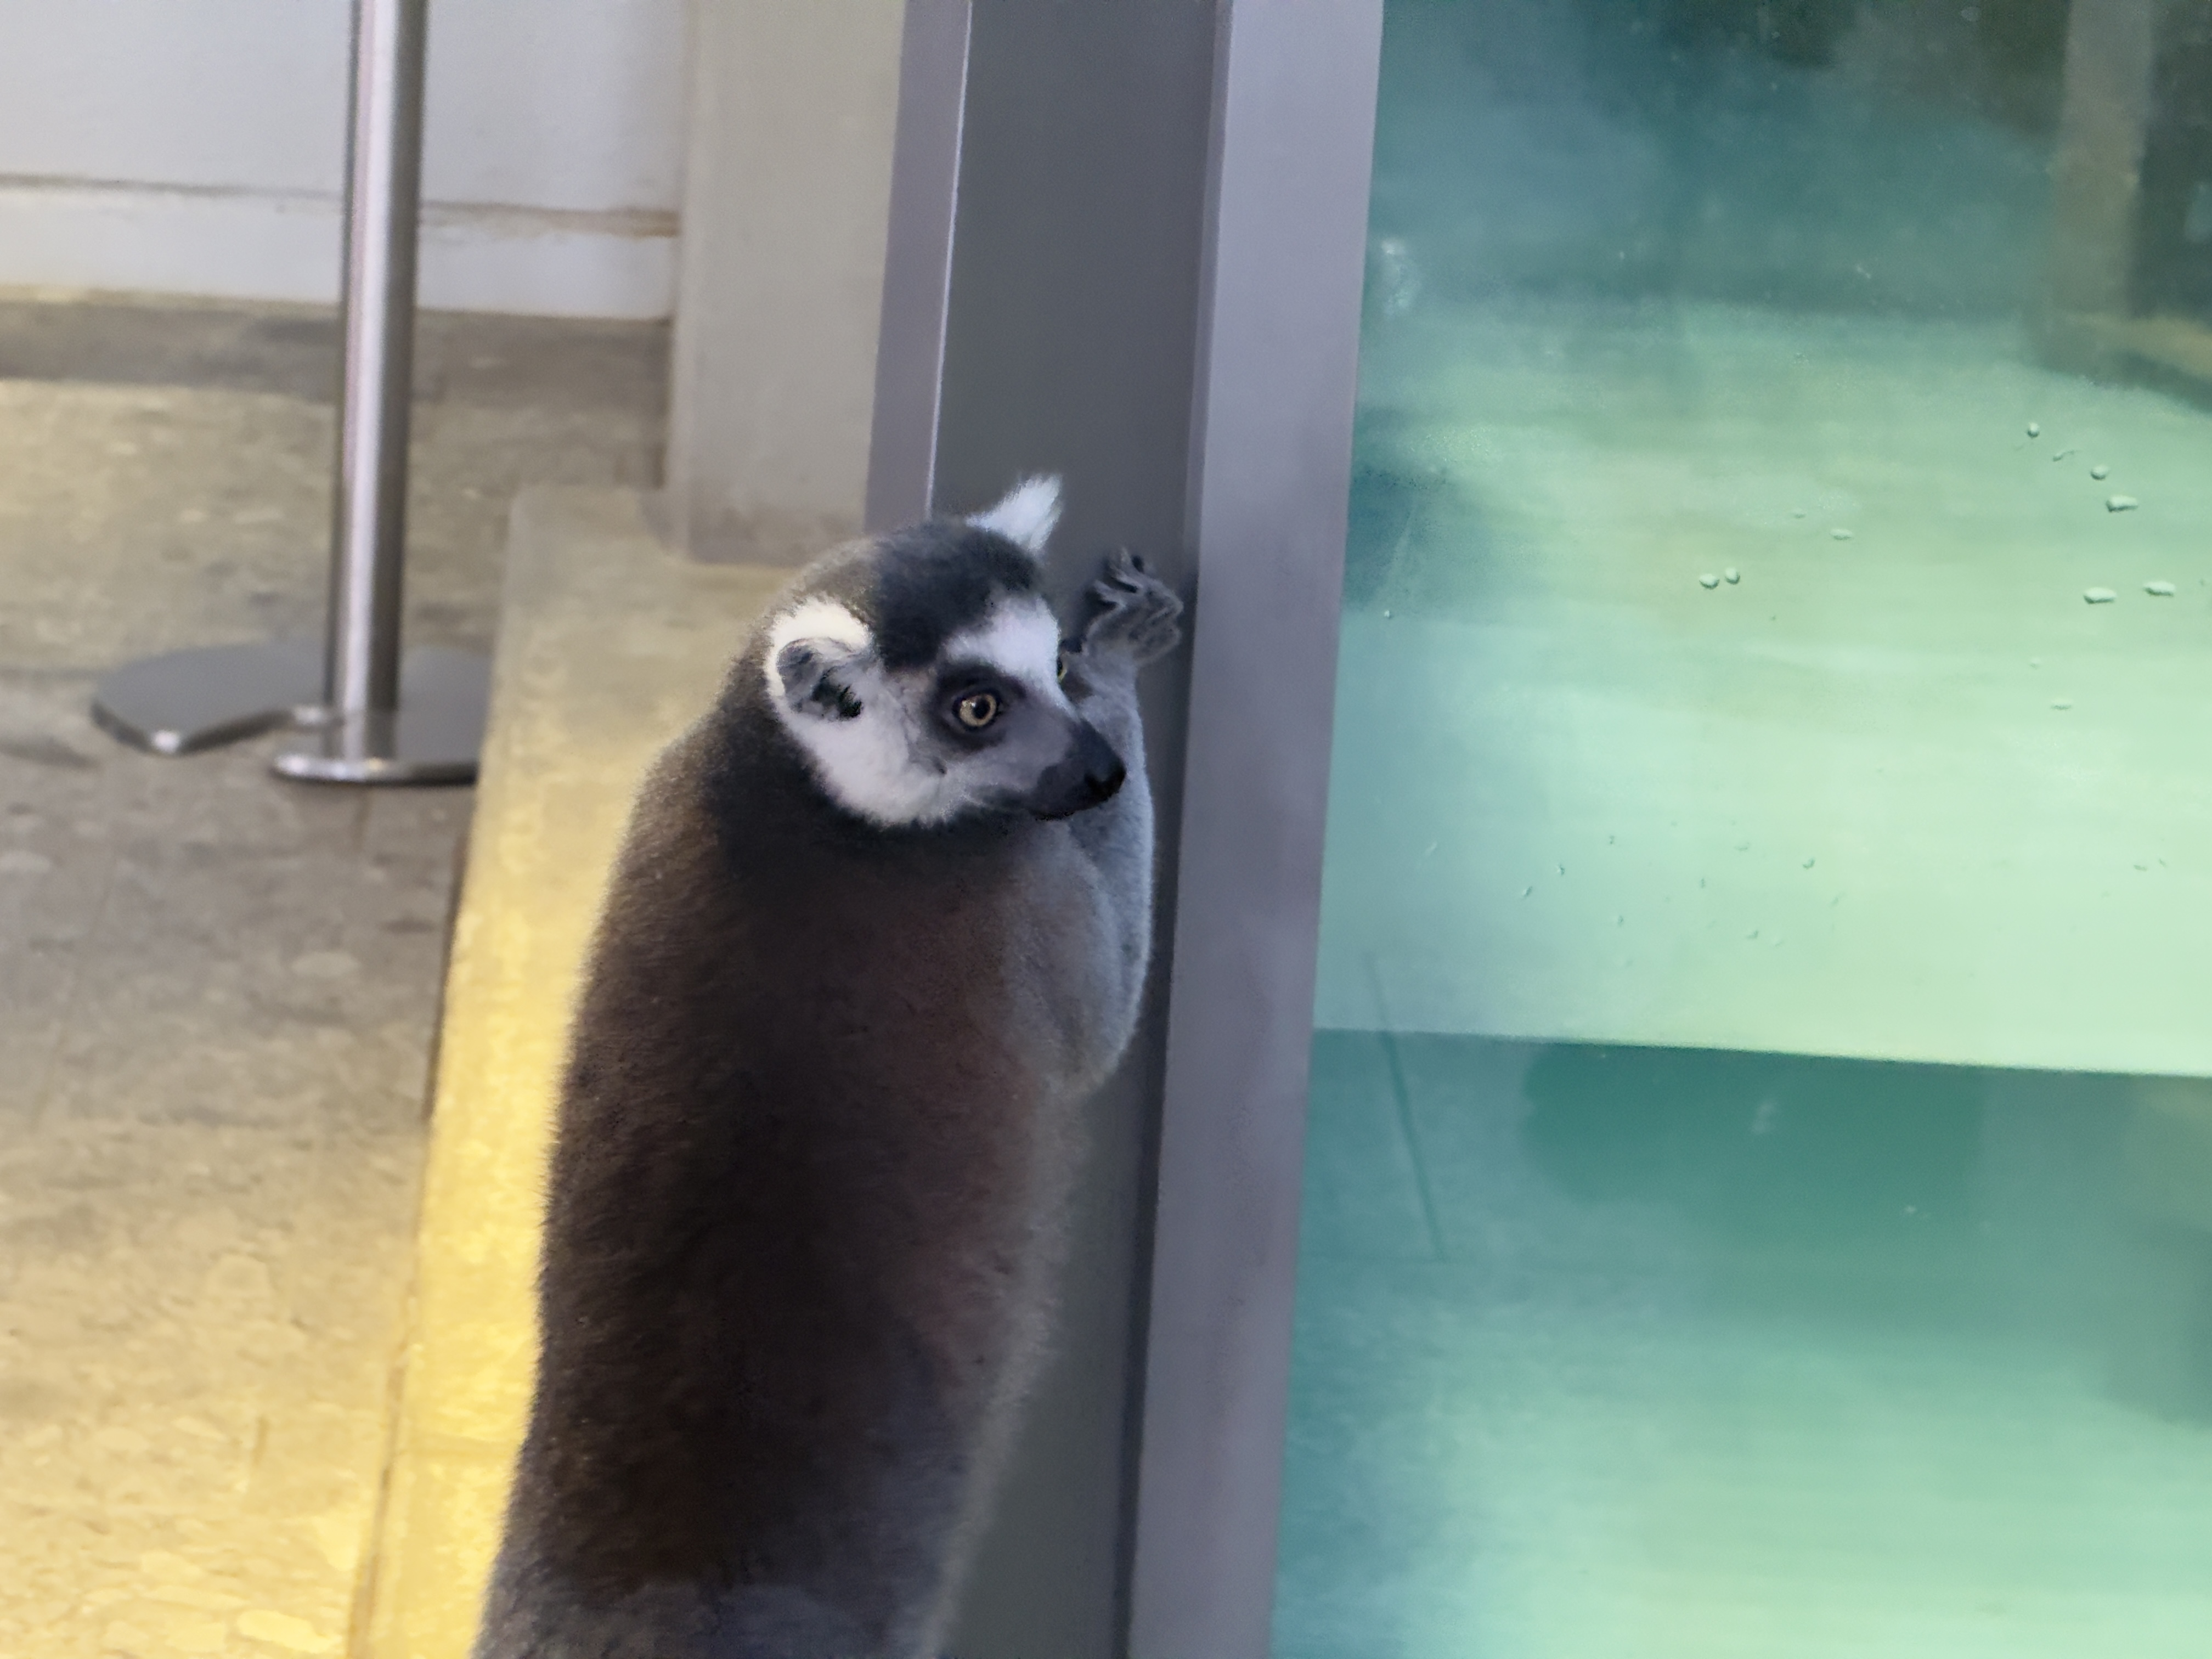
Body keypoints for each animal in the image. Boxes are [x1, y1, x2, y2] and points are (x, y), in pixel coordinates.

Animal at [470, 476, 1183, 1659]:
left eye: (1046, 663)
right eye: (977, 708)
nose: (1099, 770)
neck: (797, 797)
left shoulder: (661, 786)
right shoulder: (1016, 882)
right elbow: (1106, 1023)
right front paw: (1126, 663)